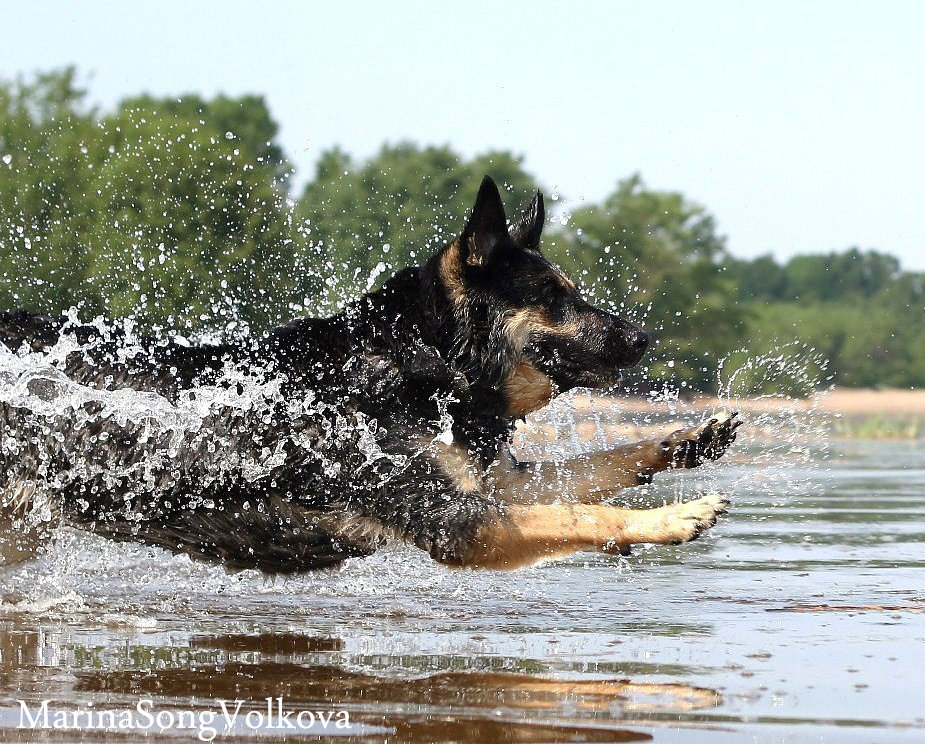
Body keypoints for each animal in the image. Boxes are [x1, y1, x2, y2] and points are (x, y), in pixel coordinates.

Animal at [0, 177, 740, 572]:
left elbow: (600, 466)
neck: (422, 364)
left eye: (573, 290)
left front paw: (688, 441)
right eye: (554, 297)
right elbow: (581, 511)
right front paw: (676, 517)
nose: (644, 337)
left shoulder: (491, 485)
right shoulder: (460, 522)